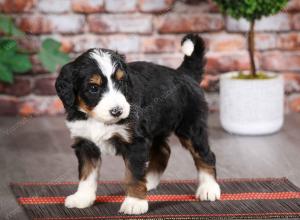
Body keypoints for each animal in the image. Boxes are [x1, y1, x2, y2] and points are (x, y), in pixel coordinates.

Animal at [55, 34, 221, 215]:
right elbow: (87, 174)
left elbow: (133, 175)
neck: (97, 119)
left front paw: (135, 202)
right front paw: (82, 198)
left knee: (205, 155)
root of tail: (184, 74)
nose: (117, 111)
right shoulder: (85, 143)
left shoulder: (135, 142)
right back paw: (148, 181)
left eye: (121, 82)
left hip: (191, 127)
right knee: (163, 152)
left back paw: (209, 188)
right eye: (93, 88)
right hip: (157, 126)